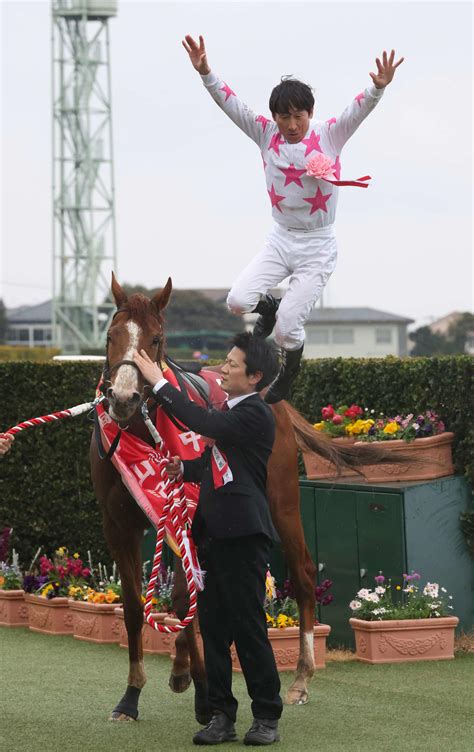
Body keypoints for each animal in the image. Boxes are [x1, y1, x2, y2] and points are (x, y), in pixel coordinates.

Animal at [90, 274, 394, 720]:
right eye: (111, 336)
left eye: (157, 339)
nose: (124, 399)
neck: (142, 432)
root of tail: (272, 398)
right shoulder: (117, 523)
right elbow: (134, 606)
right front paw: (131, 696)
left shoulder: (183, 512)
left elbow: (184, 599)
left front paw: (204, 696)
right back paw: (181, 668)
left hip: (282, 498)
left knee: (302, 572)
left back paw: (301, 676)